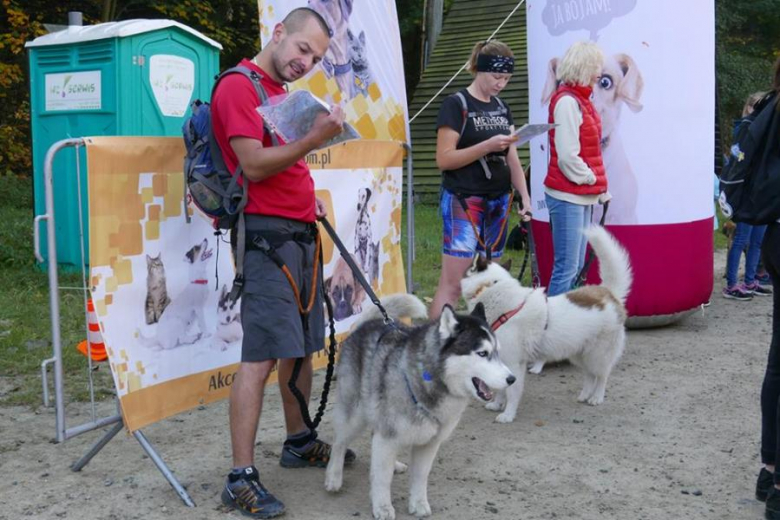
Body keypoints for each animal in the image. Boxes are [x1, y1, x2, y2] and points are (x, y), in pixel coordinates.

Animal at [324, 294, 516, 516]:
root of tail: (367, 323)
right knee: (340, 443)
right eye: (482, 353)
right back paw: (333, 477)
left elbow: (420, 476)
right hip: (354, 416)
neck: (429, 380)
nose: (512, 379)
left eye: (498, 352)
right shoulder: (387, 436)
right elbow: (382, 479)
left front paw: (418, 503)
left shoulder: (429, 443)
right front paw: (382, 506)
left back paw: (394, 464)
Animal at [460, 228, 632, 422]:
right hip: (580, 353)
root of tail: (608, 293)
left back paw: (596, 397)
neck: (491, 289)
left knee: (601, 376)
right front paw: (497, 405)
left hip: (598, 355)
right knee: (589, 375)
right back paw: (584, 395)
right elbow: (501, 388)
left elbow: (512, 392)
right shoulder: (501, 362)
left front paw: (508, 415)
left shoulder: (514, 363)